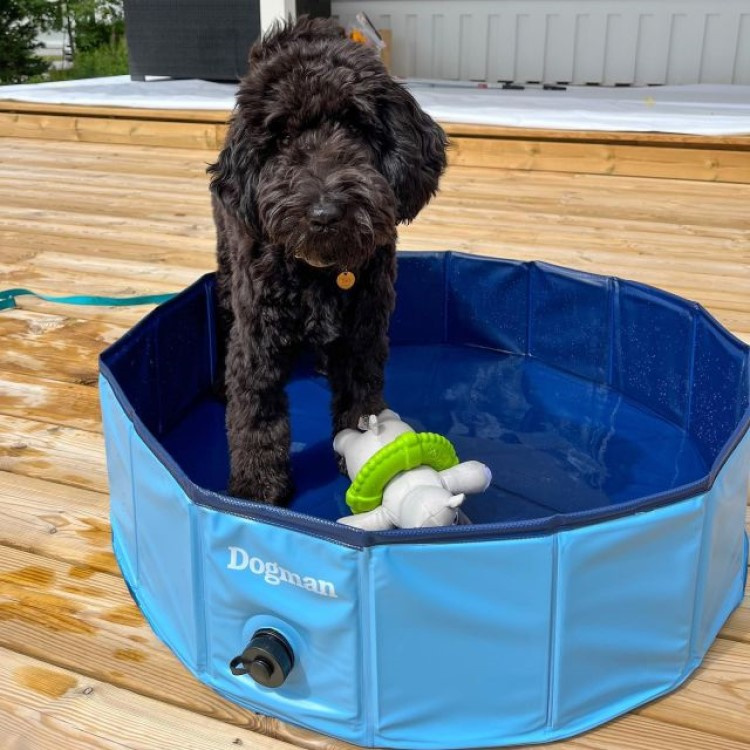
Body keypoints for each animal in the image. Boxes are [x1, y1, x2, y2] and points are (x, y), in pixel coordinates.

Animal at [209, 17, 450, 508]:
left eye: (354, 127)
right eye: (282, 137)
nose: (324, 212)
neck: (319, 269)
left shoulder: (363, 336)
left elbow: (360, 401)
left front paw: (360, 451)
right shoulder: (257, 341)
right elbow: (256, 415)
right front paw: (255, 490)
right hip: (228, 271)